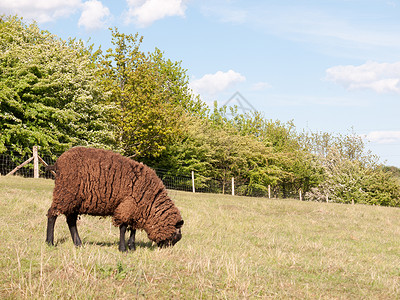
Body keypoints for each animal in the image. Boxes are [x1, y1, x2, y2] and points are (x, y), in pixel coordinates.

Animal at [45, 146, 184, 252]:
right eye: (175, 235)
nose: (166, 250)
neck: (151, 201)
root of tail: (57, 163)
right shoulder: (127, 205)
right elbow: (123, 227)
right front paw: (123, 249)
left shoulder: (136, 208)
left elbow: (133, 229)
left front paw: (132, 247)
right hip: (65, 193)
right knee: (52, 214)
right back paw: (49, 242)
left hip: (74, 200)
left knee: (71, 221)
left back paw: (78, 244)